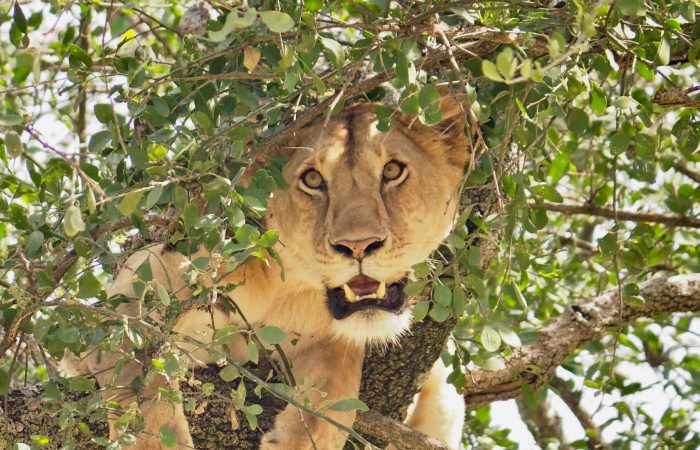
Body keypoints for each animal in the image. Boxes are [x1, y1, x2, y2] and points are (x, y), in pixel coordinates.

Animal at [68, 92, 470, 449]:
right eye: (313, 180)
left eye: (392, 171)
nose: (358, 245)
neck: (283, 285)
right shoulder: (133, 294)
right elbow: (144, 384)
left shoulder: (328, 339)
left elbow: (334, 392)